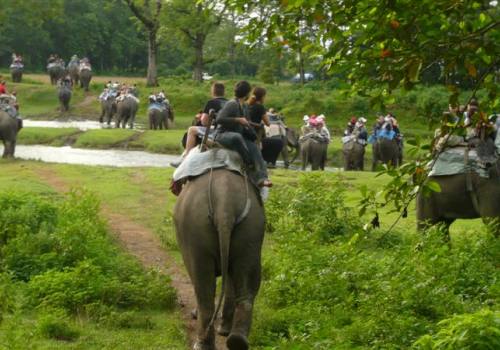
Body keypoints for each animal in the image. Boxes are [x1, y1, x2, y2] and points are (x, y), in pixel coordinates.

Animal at [174, 168, 266, 348]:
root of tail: (225, 203)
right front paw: (223, 330)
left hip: (196, 228)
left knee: (203, 287)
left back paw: (202, 344)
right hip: (252, 226)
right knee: (247, 281)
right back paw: (237, 340)